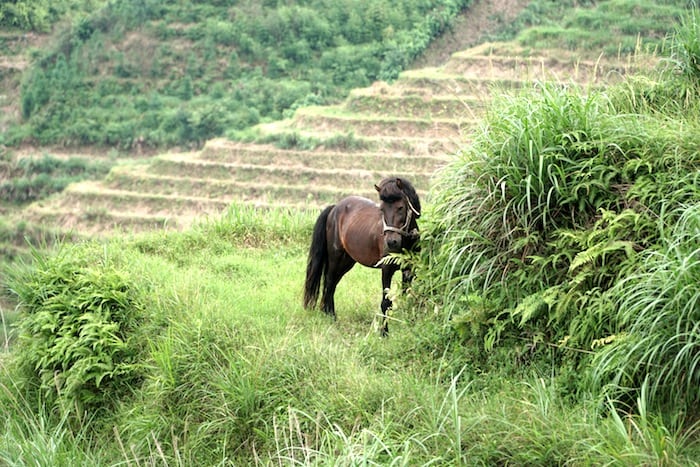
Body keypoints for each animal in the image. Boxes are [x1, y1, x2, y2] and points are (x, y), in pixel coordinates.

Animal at [302, 177, 422, 334]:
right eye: (382, 209)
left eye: (401, 207)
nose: (391, 242)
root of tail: (334, 208)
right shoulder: (386, 270)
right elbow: (386, 302)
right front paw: (384, 332)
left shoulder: (409, 270)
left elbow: (407, 296)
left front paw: (408, 324)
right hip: (335, 258)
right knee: (329, 282)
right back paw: (331, 316)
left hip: (346, 262)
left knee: (332, 284)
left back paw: (327, 313)